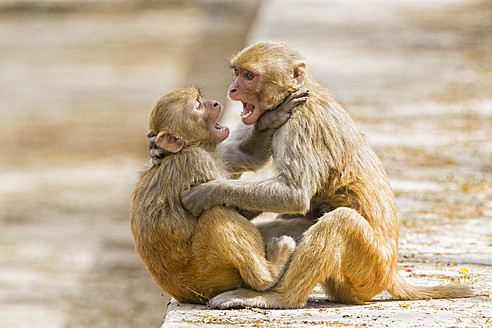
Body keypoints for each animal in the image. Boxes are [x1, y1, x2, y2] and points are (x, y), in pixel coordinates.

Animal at [129, 88, 302, 304]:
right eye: (197, 105)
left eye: (200, 98)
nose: (214, 103)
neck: (190, 146)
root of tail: (186, 295)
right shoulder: (198, 160)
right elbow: (230, 206)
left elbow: (248, 157)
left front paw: (269, 119)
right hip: (207, 274)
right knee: (216, 215)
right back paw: (269, 274)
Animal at [179, 41, 474, 308]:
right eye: (236, 72)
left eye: (249, 76)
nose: (232, 89)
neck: (300, 93)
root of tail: (391, 273)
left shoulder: (301, 122)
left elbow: (294, 193)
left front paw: (202, 194)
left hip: (369, 271)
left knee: (340, 221)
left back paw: (280, 297)